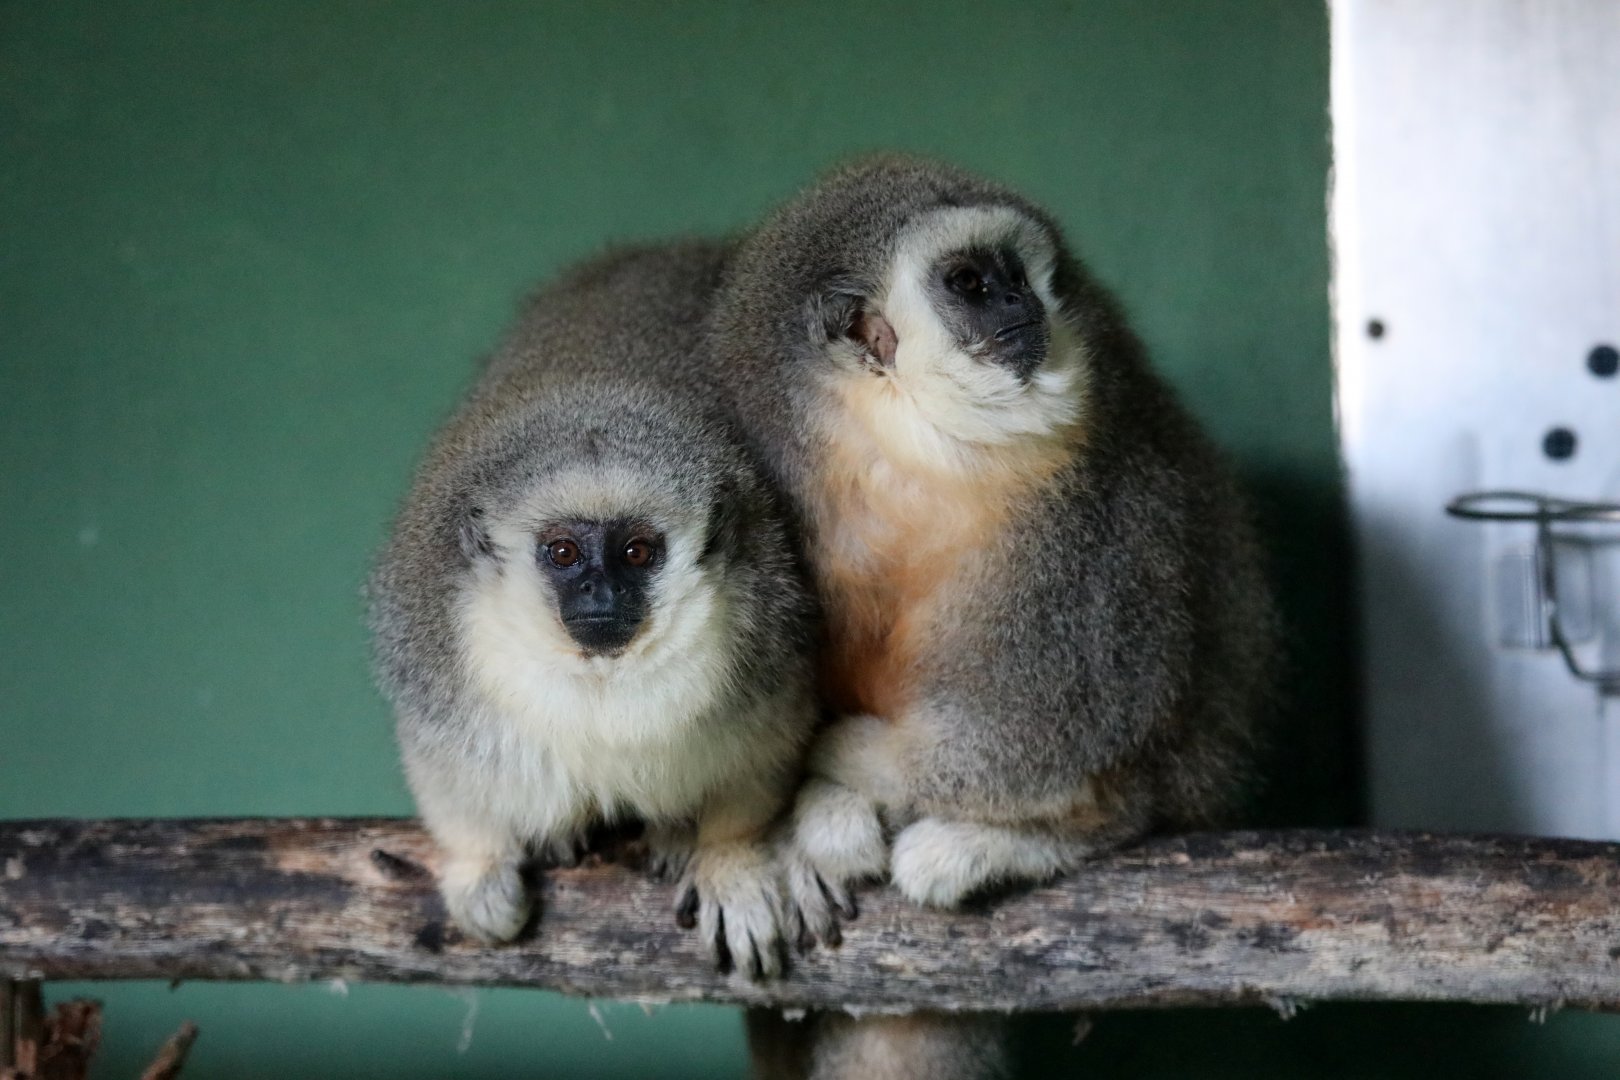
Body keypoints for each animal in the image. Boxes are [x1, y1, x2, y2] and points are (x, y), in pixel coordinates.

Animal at [366, 244, 818, 979]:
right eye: (564, 552)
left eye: (636, 552)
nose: (600, 597)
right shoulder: (431, 641)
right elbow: (442, 762)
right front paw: (479, 867)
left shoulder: (772, 631)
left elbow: (764, 759)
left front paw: (729, 860)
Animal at [699, 157, 1276, 1076]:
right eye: (970, 282)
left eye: (1023, 274)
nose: (1023, 303)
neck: (904, 456)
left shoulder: (1091, 511)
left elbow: (1049, 729)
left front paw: (845, 761)